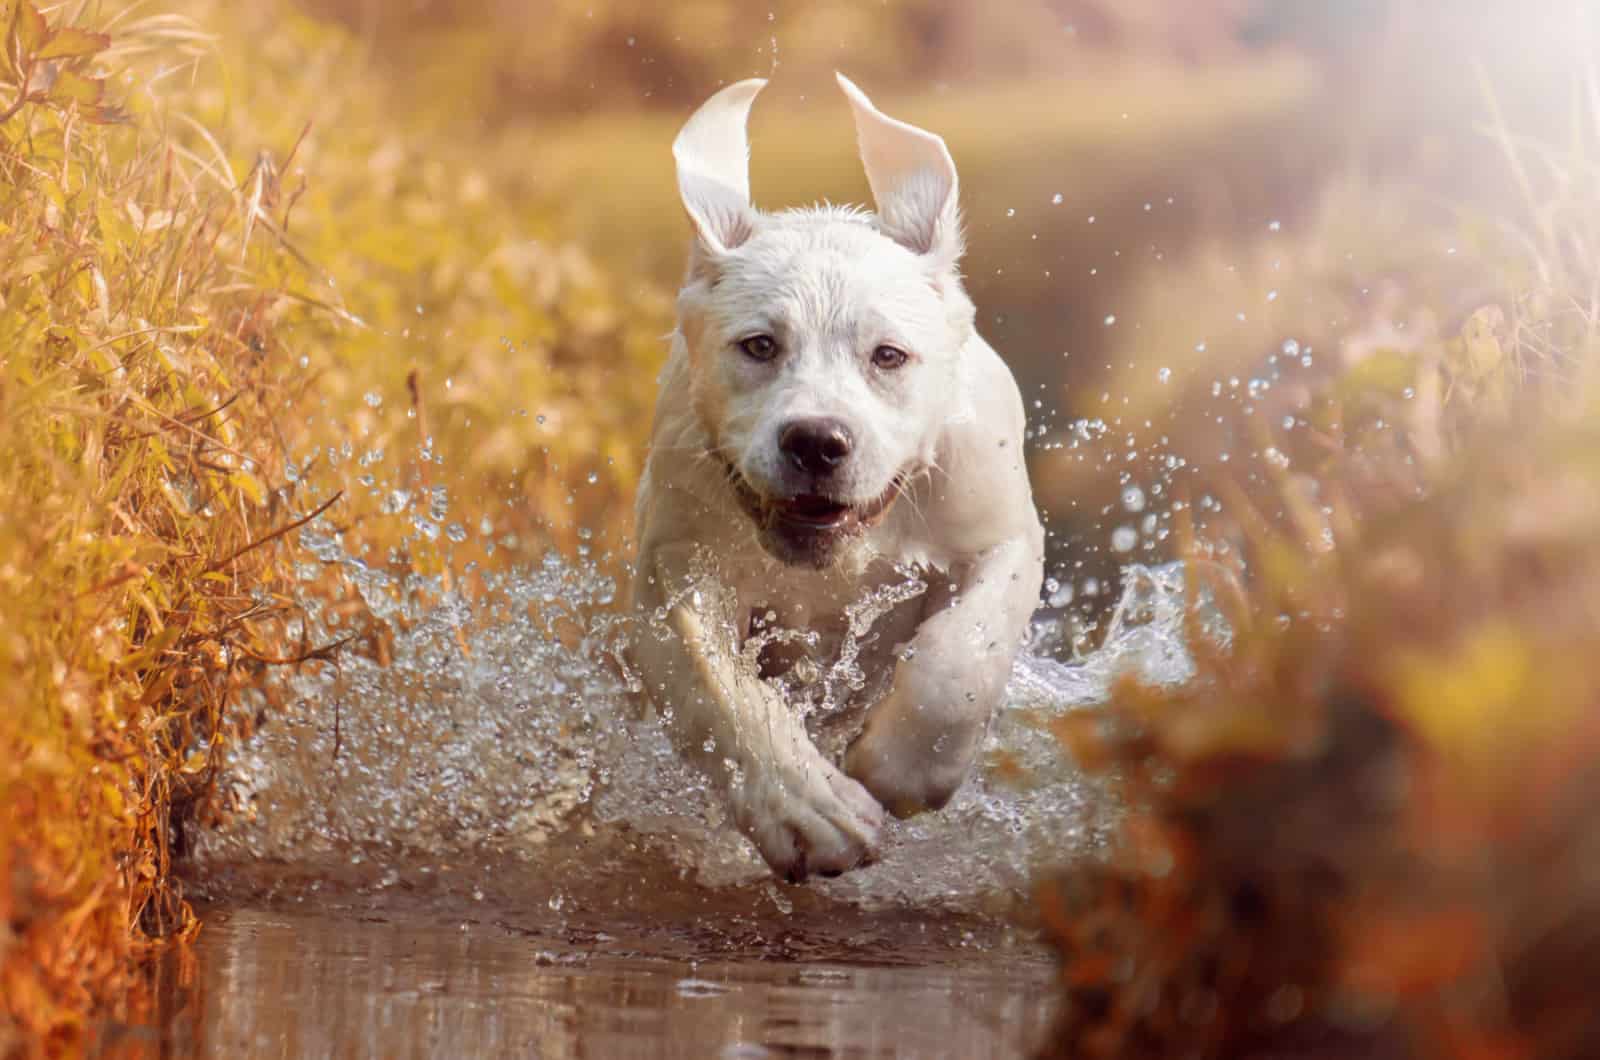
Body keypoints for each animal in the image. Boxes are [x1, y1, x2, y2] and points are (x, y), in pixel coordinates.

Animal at [630, 74, 1043, 883]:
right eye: (759, 345)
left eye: (889, 355)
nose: (817, 442)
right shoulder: (675, 570)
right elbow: (718, 686)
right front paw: (808, 811)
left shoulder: (1001, 534)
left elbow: (961, 657)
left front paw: (899, 767)